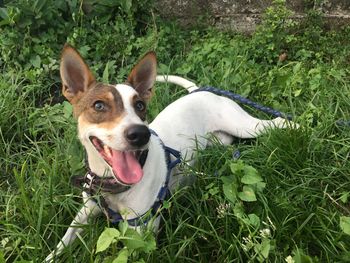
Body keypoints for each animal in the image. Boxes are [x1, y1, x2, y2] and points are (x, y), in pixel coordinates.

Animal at [46, 45, 292, 262]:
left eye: (140, 105)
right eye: (98, 106)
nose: (141, 133)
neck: (112, 187)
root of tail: (199, 91)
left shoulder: (142, 232)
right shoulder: (86, 210)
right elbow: (64, 240)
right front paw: (50, 256)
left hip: (244, 125)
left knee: (278, 122)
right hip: (219, 141)